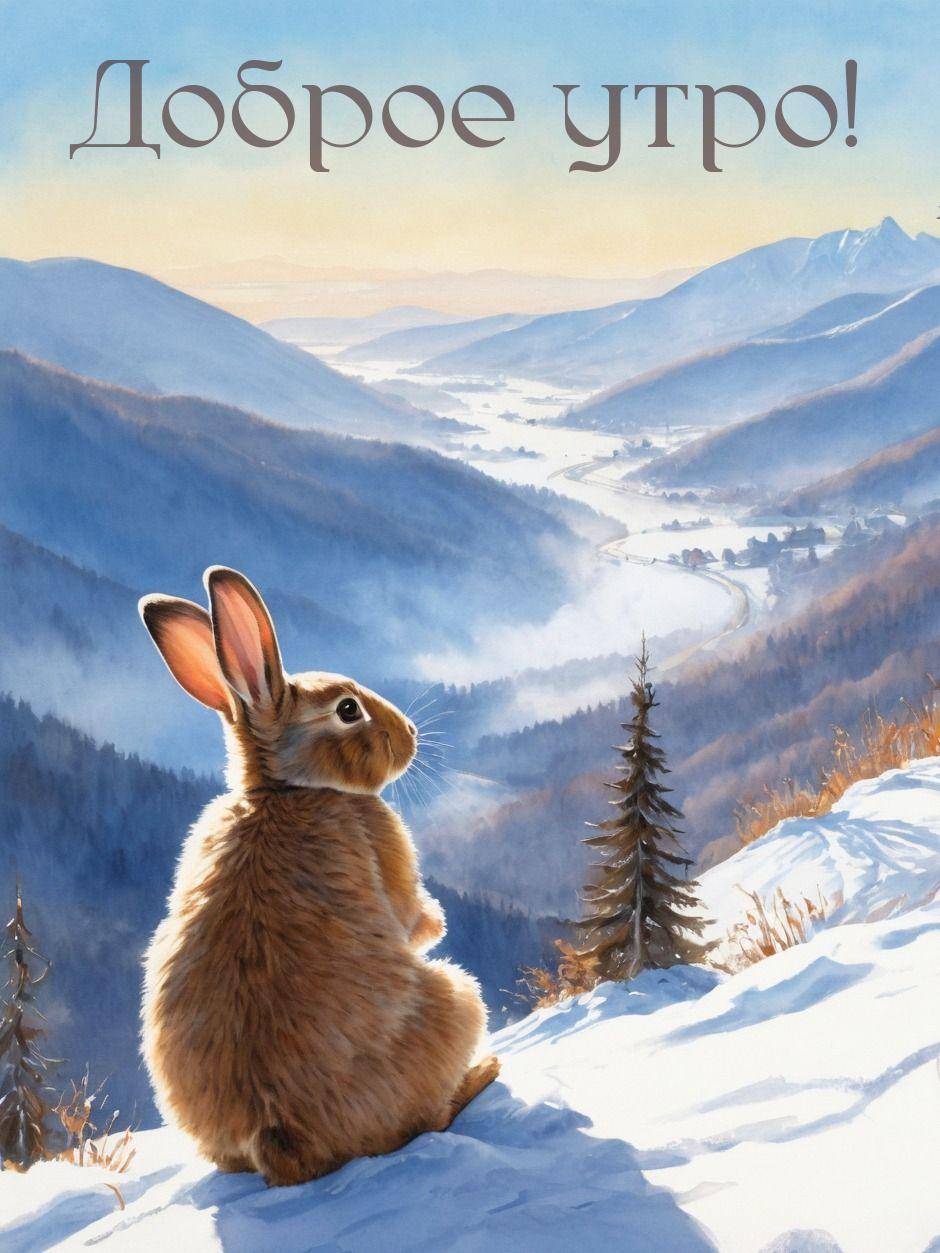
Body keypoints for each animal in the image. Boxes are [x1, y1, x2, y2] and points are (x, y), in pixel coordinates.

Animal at [138, 565, 498, 1186]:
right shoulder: (382, 844)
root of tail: (280, 1138)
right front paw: (436, 921)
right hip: (459, 998)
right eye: (348, 710)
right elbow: (411, 915)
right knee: (429, 1121)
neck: (286, 789)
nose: (410, 731)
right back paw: (484, 1073)